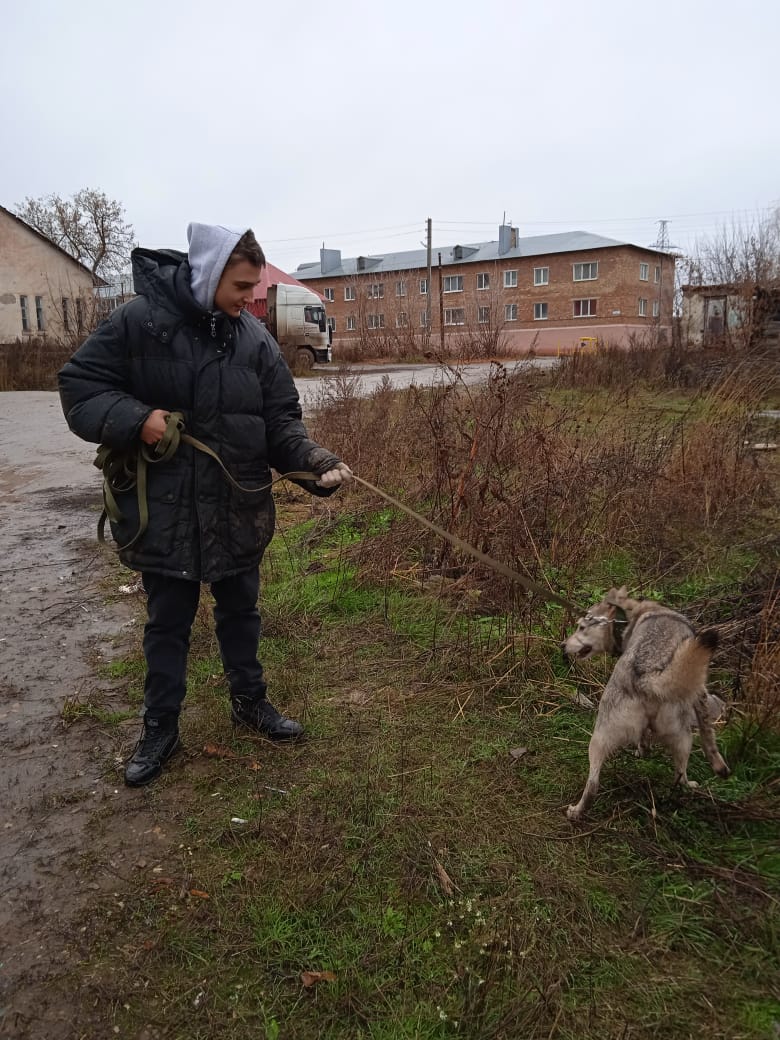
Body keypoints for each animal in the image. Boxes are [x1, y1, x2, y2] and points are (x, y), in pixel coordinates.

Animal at [565, 586, 732, 819]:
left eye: (581, 627)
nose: (562, 645)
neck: (629, 617)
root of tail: (646, 677)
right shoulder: (700, 691)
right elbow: (709, 738)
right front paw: (719, 766)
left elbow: (643, 737)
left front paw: (643, 750)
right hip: (680, 734)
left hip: (605, 739)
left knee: (595, 782)